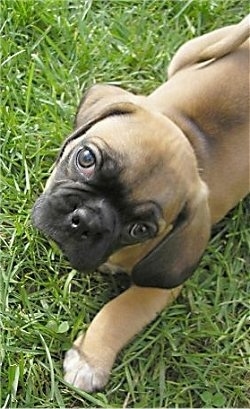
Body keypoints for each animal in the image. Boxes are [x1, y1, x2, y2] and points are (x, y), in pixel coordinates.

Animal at [32, 16, 249, 392]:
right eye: (86, 158)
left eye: (140, 229)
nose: (86, 219)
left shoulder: (157, 289)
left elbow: (120, 311)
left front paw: (90, 358)